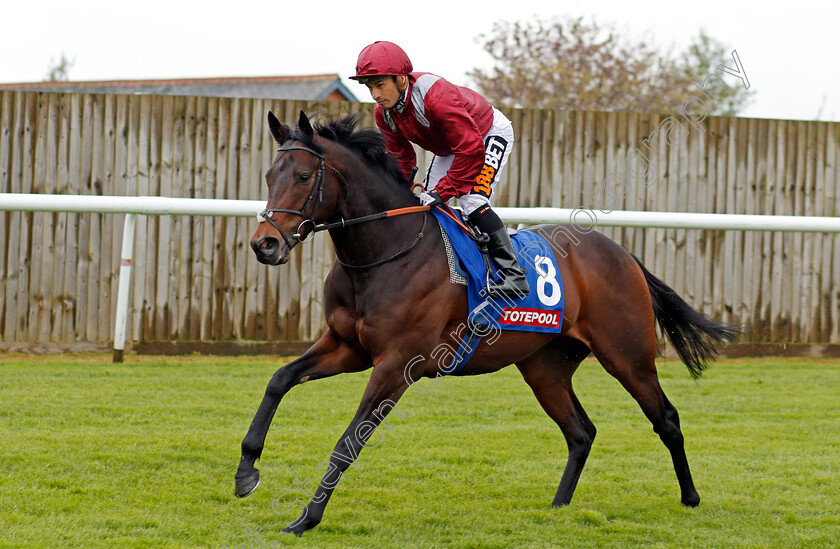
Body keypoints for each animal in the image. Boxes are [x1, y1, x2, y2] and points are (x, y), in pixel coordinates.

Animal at [233, 109, 740, 532]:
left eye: (303, 176)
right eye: (268, 175)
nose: (265, 244)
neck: (386, 250)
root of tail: (622, 253)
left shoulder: (396, 364)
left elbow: (348, 442)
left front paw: (305, 518)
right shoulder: (347, 347)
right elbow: (279, 380)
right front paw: (246, 472)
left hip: (627, 357)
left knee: (666, 418)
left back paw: (691, 497)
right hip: (545, 367)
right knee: (581, 432)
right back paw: (558, 505)